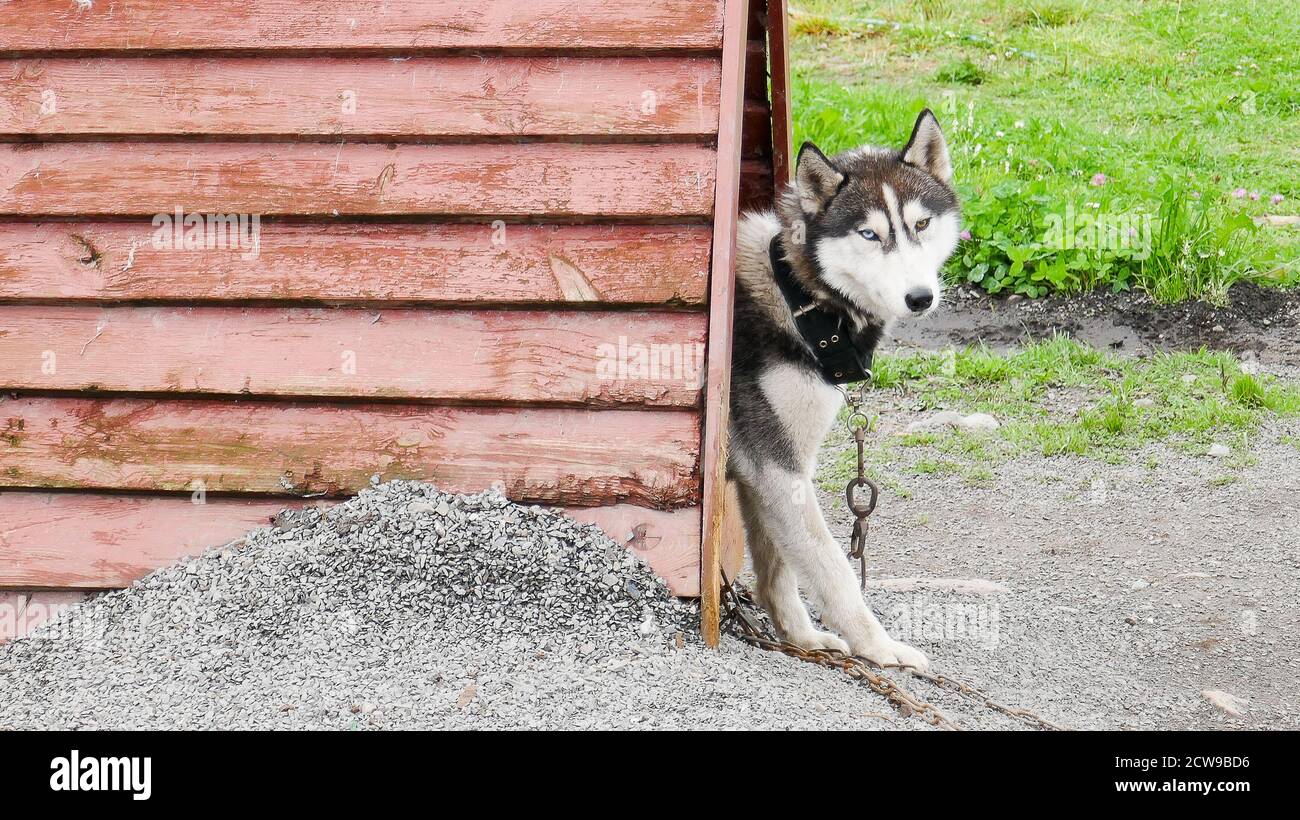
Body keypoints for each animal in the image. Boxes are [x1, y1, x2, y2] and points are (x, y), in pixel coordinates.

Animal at [728, 110, 961, 675]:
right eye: (869, 234)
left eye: (922, 225)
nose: (920, 298)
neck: (801, 302)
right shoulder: (776, 468)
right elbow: (834, 570)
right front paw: (879, 646)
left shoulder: (765, 475)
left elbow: (778, 569)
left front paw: (800, 636)